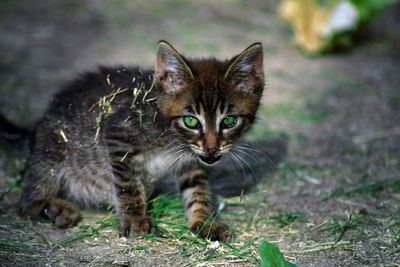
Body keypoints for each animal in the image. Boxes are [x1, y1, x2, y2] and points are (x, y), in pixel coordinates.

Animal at [18, 40, 264, 243]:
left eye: (229, 120)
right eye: (191, 121)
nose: (212, 150)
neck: (172, 137)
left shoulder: (193, 160)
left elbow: (198, 190)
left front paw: (204, 222)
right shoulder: (117, 136)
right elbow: (128, 186)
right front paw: (136, 220)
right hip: (53, 147)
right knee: (26, 203)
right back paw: (55, 208)